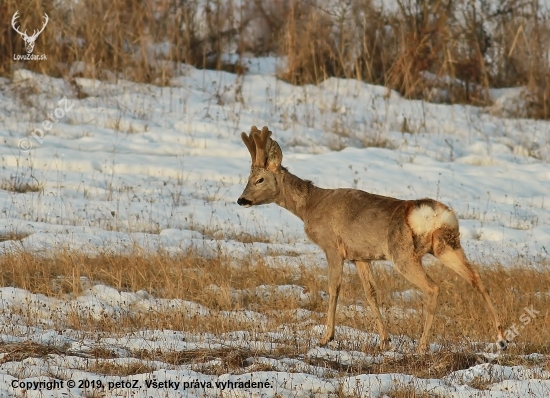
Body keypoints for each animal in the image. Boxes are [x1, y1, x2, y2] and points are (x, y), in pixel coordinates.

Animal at [238, 126, 508, 352]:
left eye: (259, 179)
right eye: (247, 178)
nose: (241, 200)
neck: (310, 206)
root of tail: (432, 214)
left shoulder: (333, 247)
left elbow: (334, 288)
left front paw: (326, 337)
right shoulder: (360, 256)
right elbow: (371, 293)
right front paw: (384, 339)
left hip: (403, 253)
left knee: (433, 287)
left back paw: (422, 346)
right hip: (447, 246)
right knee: (477, 279)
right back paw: (501, 339)